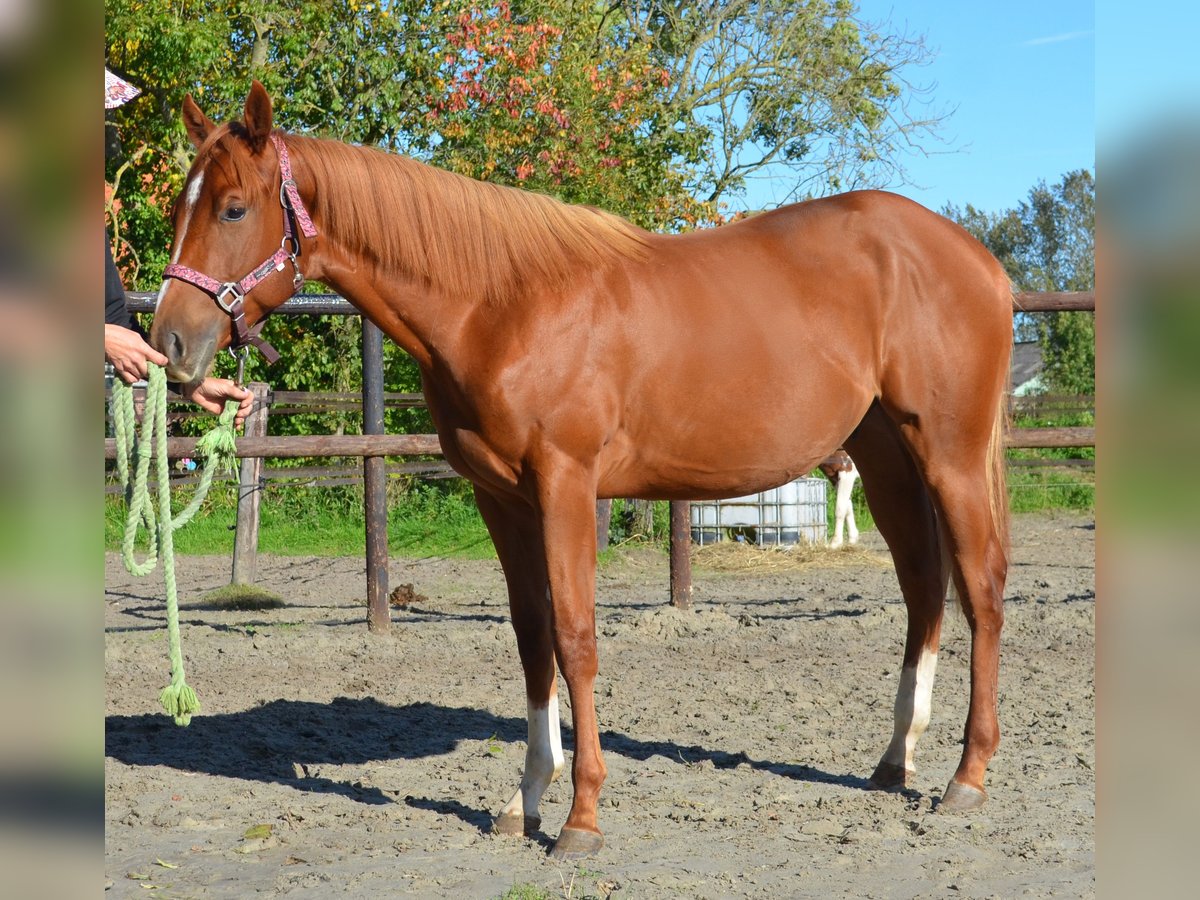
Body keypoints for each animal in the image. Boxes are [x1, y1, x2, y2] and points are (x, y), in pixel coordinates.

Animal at [152, 82, 1012, 859]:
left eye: (233, 209)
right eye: (179, 213)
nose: (169, 346)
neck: (502, 306)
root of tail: (980, 261)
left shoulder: (565, 485)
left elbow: (575, 636)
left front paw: (582, 819)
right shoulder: (501, 498)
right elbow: (533, 636)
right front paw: (525, 800)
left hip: (951, 454)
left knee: (980, 587)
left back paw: (966, 779)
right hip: (885, 454)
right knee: (922, 585)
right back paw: (896, 762)